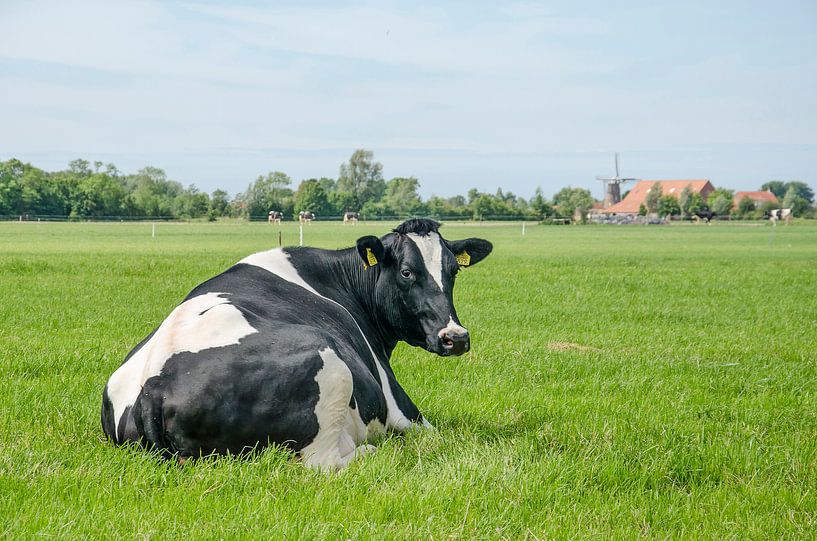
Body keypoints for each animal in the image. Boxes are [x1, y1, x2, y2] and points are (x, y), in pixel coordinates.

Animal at [97, 218, 490, 468]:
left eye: (453, 271)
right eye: (407, 272)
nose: (455, 337)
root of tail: (154, 385)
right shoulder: (399, 406)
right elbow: (435, 435)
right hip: (330, 368)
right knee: (324, 463)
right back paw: (373, 453)